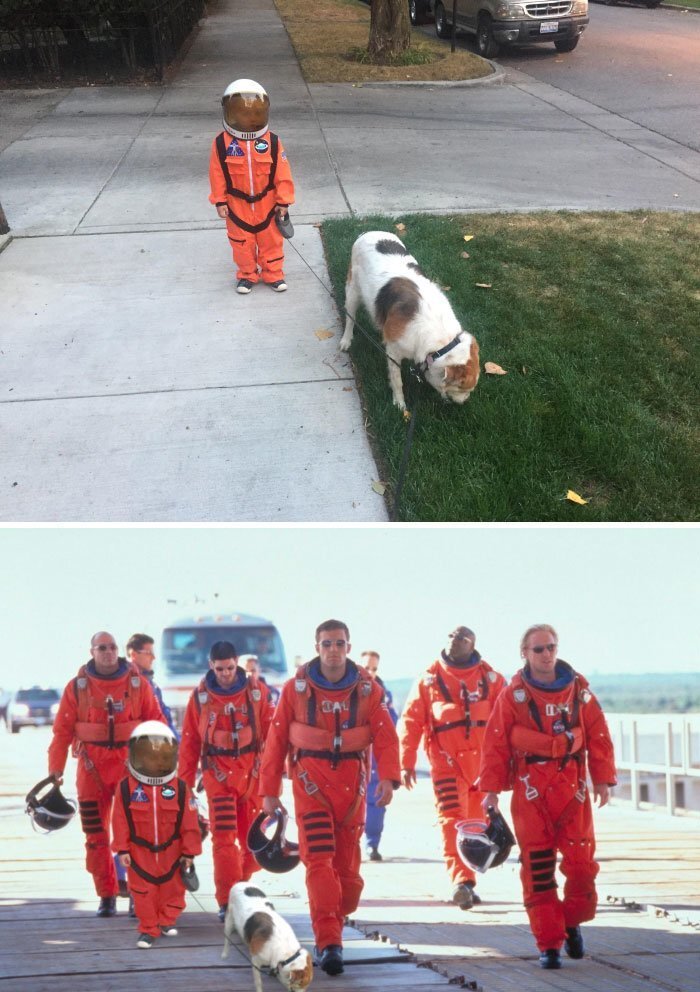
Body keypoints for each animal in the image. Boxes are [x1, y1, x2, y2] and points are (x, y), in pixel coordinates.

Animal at [340, 231, 482, 408]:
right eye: (462, 389)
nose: (465, 402)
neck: (442, 343)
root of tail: (367, 232)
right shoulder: (393, 351)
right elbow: (397, 380)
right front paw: (400, 404)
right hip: (353, 290)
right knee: (350, 317)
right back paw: (346, 340)